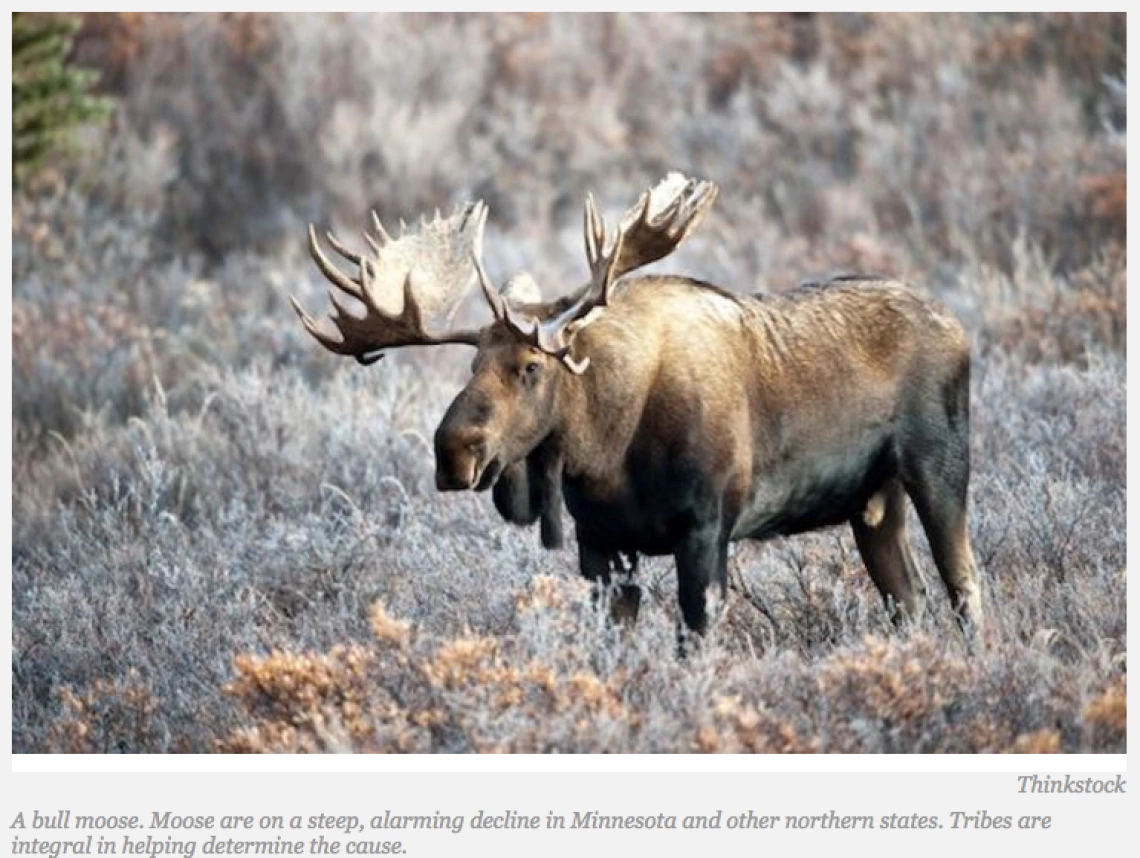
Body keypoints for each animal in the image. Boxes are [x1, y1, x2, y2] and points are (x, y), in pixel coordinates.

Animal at [298, 174, 984, 638]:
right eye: (471, 367)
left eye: (530, 367)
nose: (452, 453)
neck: (605, 452)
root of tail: (958, 327)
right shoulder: (601, 545)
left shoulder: (705, 530)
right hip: (874, 505)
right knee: (909, 600)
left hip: (939, 469)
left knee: (966, 588)